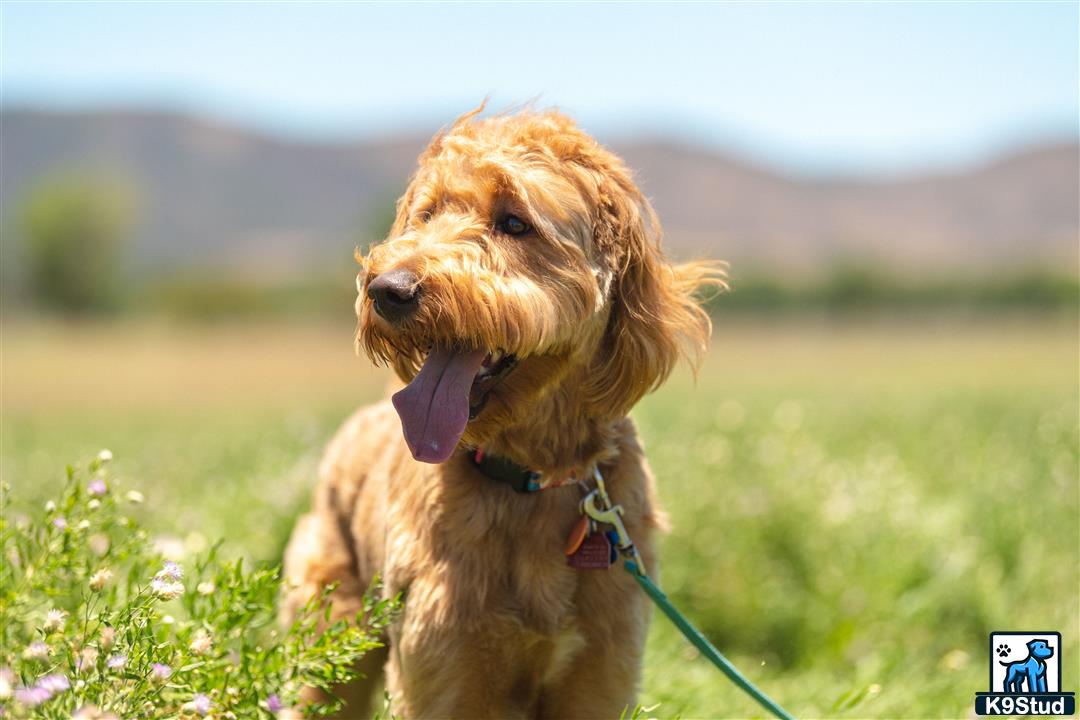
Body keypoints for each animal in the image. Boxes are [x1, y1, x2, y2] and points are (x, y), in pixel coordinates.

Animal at [282, 104, 721, 716]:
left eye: (515, 223)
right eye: (426, 214)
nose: (387, 290)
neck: (532, 477)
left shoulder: (600, 674)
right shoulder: (445, 674)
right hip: (328, 643)